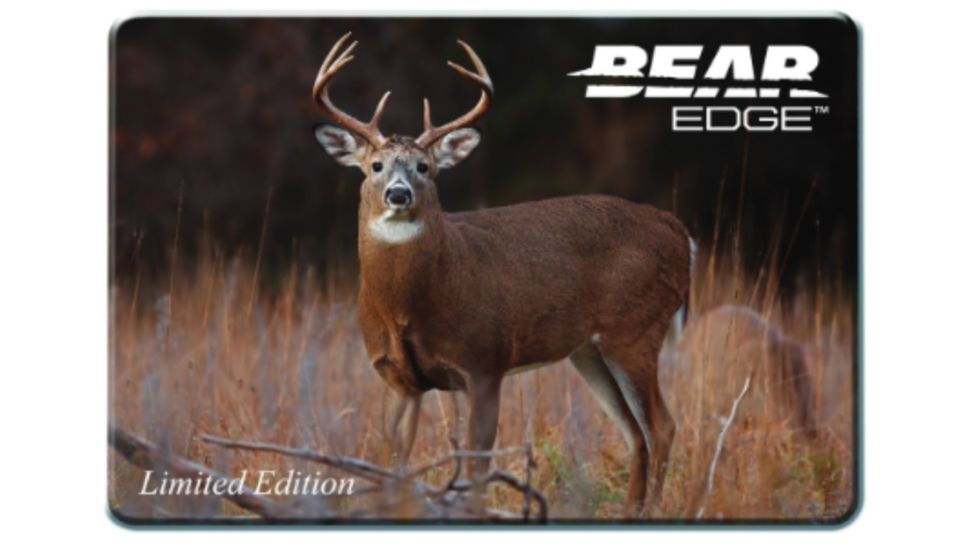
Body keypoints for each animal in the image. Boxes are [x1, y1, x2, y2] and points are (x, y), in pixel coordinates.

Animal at [311, 32, 695, 513]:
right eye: (376, 166)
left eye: (424, 168)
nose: (399, 194)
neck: (409, 306)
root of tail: (678, 229)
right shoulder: (396, 377)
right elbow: (392, 465)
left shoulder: (483, 361)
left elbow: (478, 466)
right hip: (589, 351)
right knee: (635, 433)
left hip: (637, 329)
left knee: (661, 427)